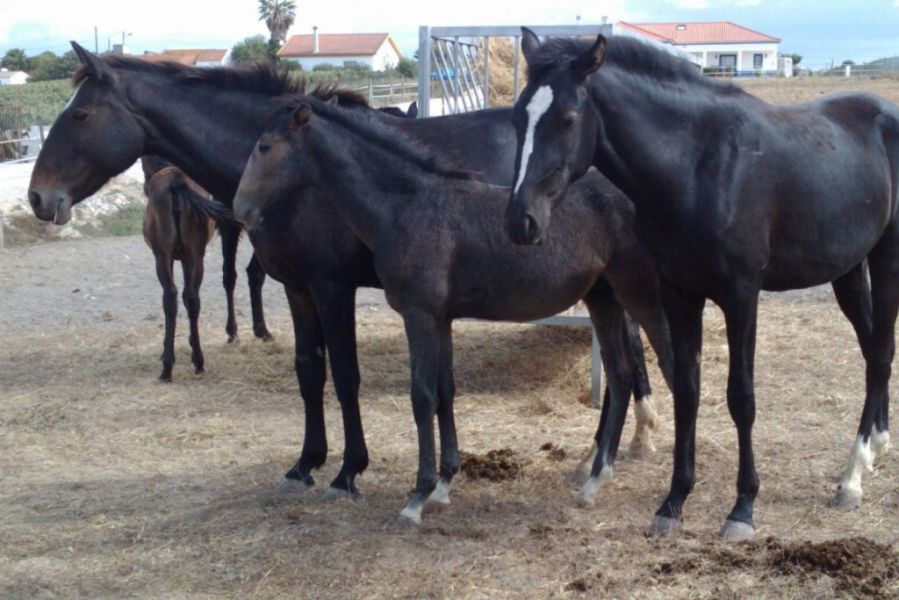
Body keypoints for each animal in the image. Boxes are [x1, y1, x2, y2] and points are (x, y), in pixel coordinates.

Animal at [140, 155, 233, 380]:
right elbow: (187, 295)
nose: (144, 187)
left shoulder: (171, 256)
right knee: (192, 298)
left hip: (162, 255)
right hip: (195, 254)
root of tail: (176, 183)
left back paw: (167, 366)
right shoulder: (185, 257)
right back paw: (199, 361)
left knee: (170, 296)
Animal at [232, 97, 674, 524]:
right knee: (620, 374)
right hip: (604, 299)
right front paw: (443, 485)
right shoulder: (440, 318)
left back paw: (670, 499)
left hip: (643, 297)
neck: (406, 205)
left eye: (264, 146)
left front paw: (416, 495)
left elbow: (422, 396)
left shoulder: (417, 314)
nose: (240, 209)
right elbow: (445, 392)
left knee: (672, 370)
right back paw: (595, 480)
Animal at [505, 28, 899, 540]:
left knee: (881, 353)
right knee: (874, 350)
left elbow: (741, 397)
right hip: (847, 270)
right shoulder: (678, 293)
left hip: (886, 257)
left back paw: (852, 476)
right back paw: (872, 451)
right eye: (518, 116)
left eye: (569, 119)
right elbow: (687, 390)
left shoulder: (741, 296)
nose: (521, 220)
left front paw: (742, 507)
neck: (697, 168)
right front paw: (673, 501)